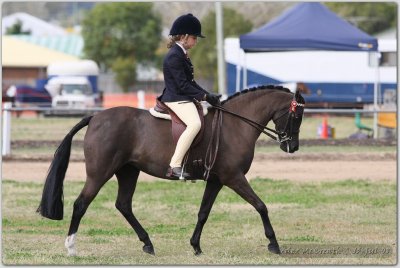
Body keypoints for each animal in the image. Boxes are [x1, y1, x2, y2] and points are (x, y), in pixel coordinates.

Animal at [38, 85, 306, 256]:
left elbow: (203, 212)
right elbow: (261, 205)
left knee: (123, 205)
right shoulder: (234, 177)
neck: (235, 124)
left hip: (128, 171)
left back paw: (148, 244)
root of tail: (94, 118)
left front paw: (196, 246)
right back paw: (71, 247)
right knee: (81, 204)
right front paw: (274, 244)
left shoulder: (217, 179)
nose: (292, 146)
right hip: (100, 172)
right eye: (296, 115)